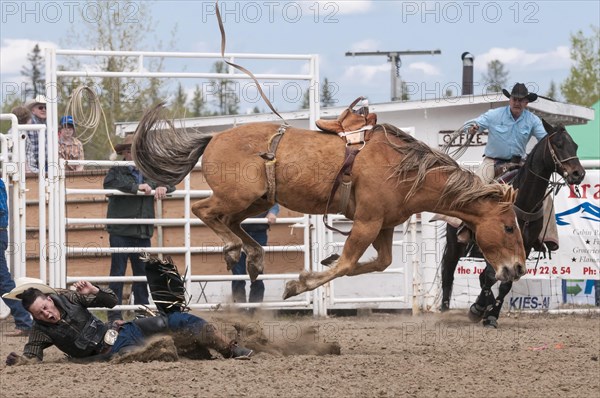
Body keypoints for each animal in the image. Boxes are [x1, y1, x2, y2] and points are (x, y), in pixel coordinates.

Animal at [132, 104, 524, 300]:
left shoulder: (383, 225)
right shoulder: (366, 222)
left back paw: (252, 257)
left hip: (257, 201)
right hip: (237, 195)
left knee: (232, 222)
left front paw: (319, 266)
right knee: (203, 211)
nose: (519, 269)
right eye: (508, 227)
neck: (408, 171)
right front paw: (297, 285)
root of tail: (213, 138)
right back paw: (233, 250)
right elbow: (348, 264)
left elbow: (380, 263)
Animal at [438, 119, 584, 328]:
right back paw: (446, 311)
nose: (578, 174)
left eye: (575, 145)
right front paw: (480, 309)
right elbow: (491, 277)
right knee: (448, 273)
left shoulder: (525, 246)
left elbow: (504, 282)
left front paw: (490, 314)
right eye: (558, 144)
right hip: (454, 243)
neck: (523, 201)